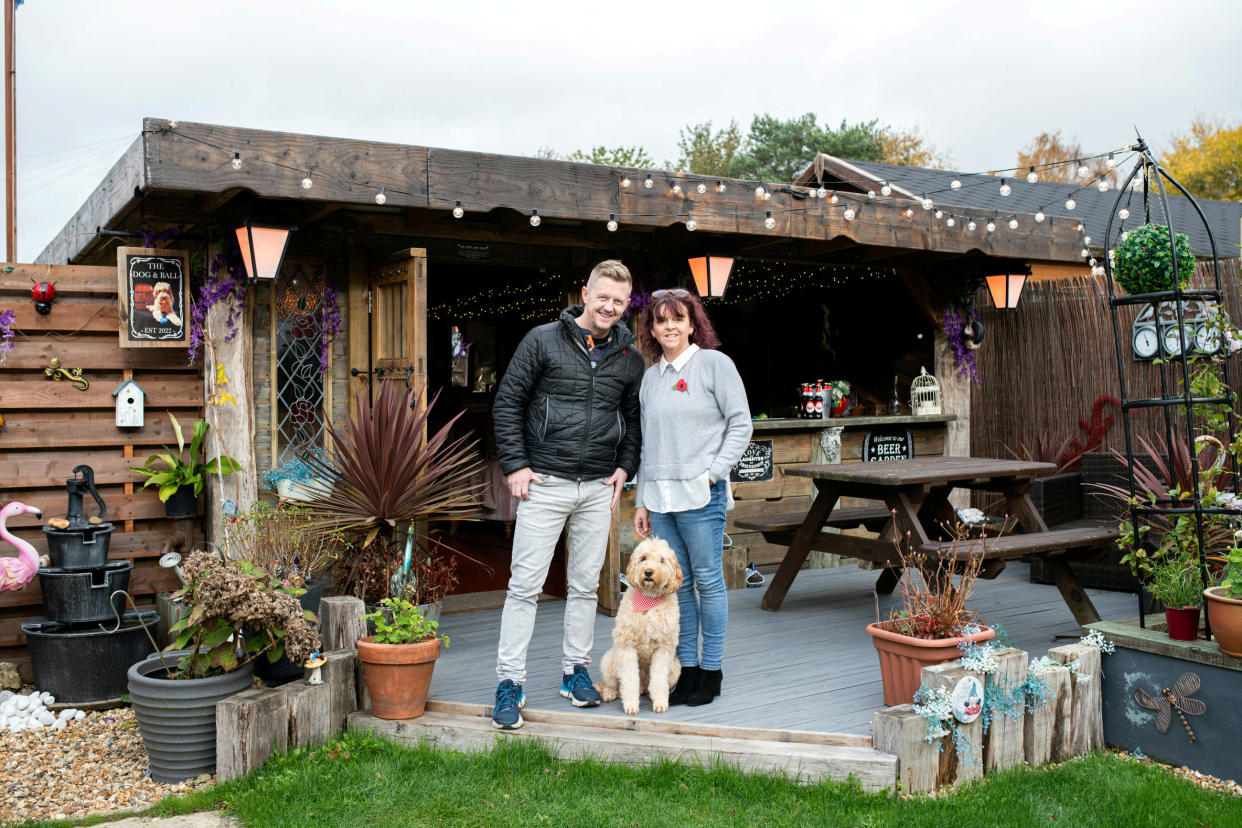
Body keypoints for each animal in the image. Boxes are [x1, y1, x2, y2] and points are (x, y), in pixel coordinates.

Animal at [596, 538, 685, 715]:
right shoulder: (626, 646)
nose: (649, 572)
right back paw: (610, 693)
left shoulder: (663, 649)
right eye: (643, 558)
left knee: (649, 686)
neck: (648, 600)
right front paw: (631, 704)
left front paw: (660, 702)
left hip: (675, 668)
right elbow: (629, 679)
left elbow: (659, 679)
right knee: (613, 684)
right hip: (609, 661)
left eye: (662, 560)